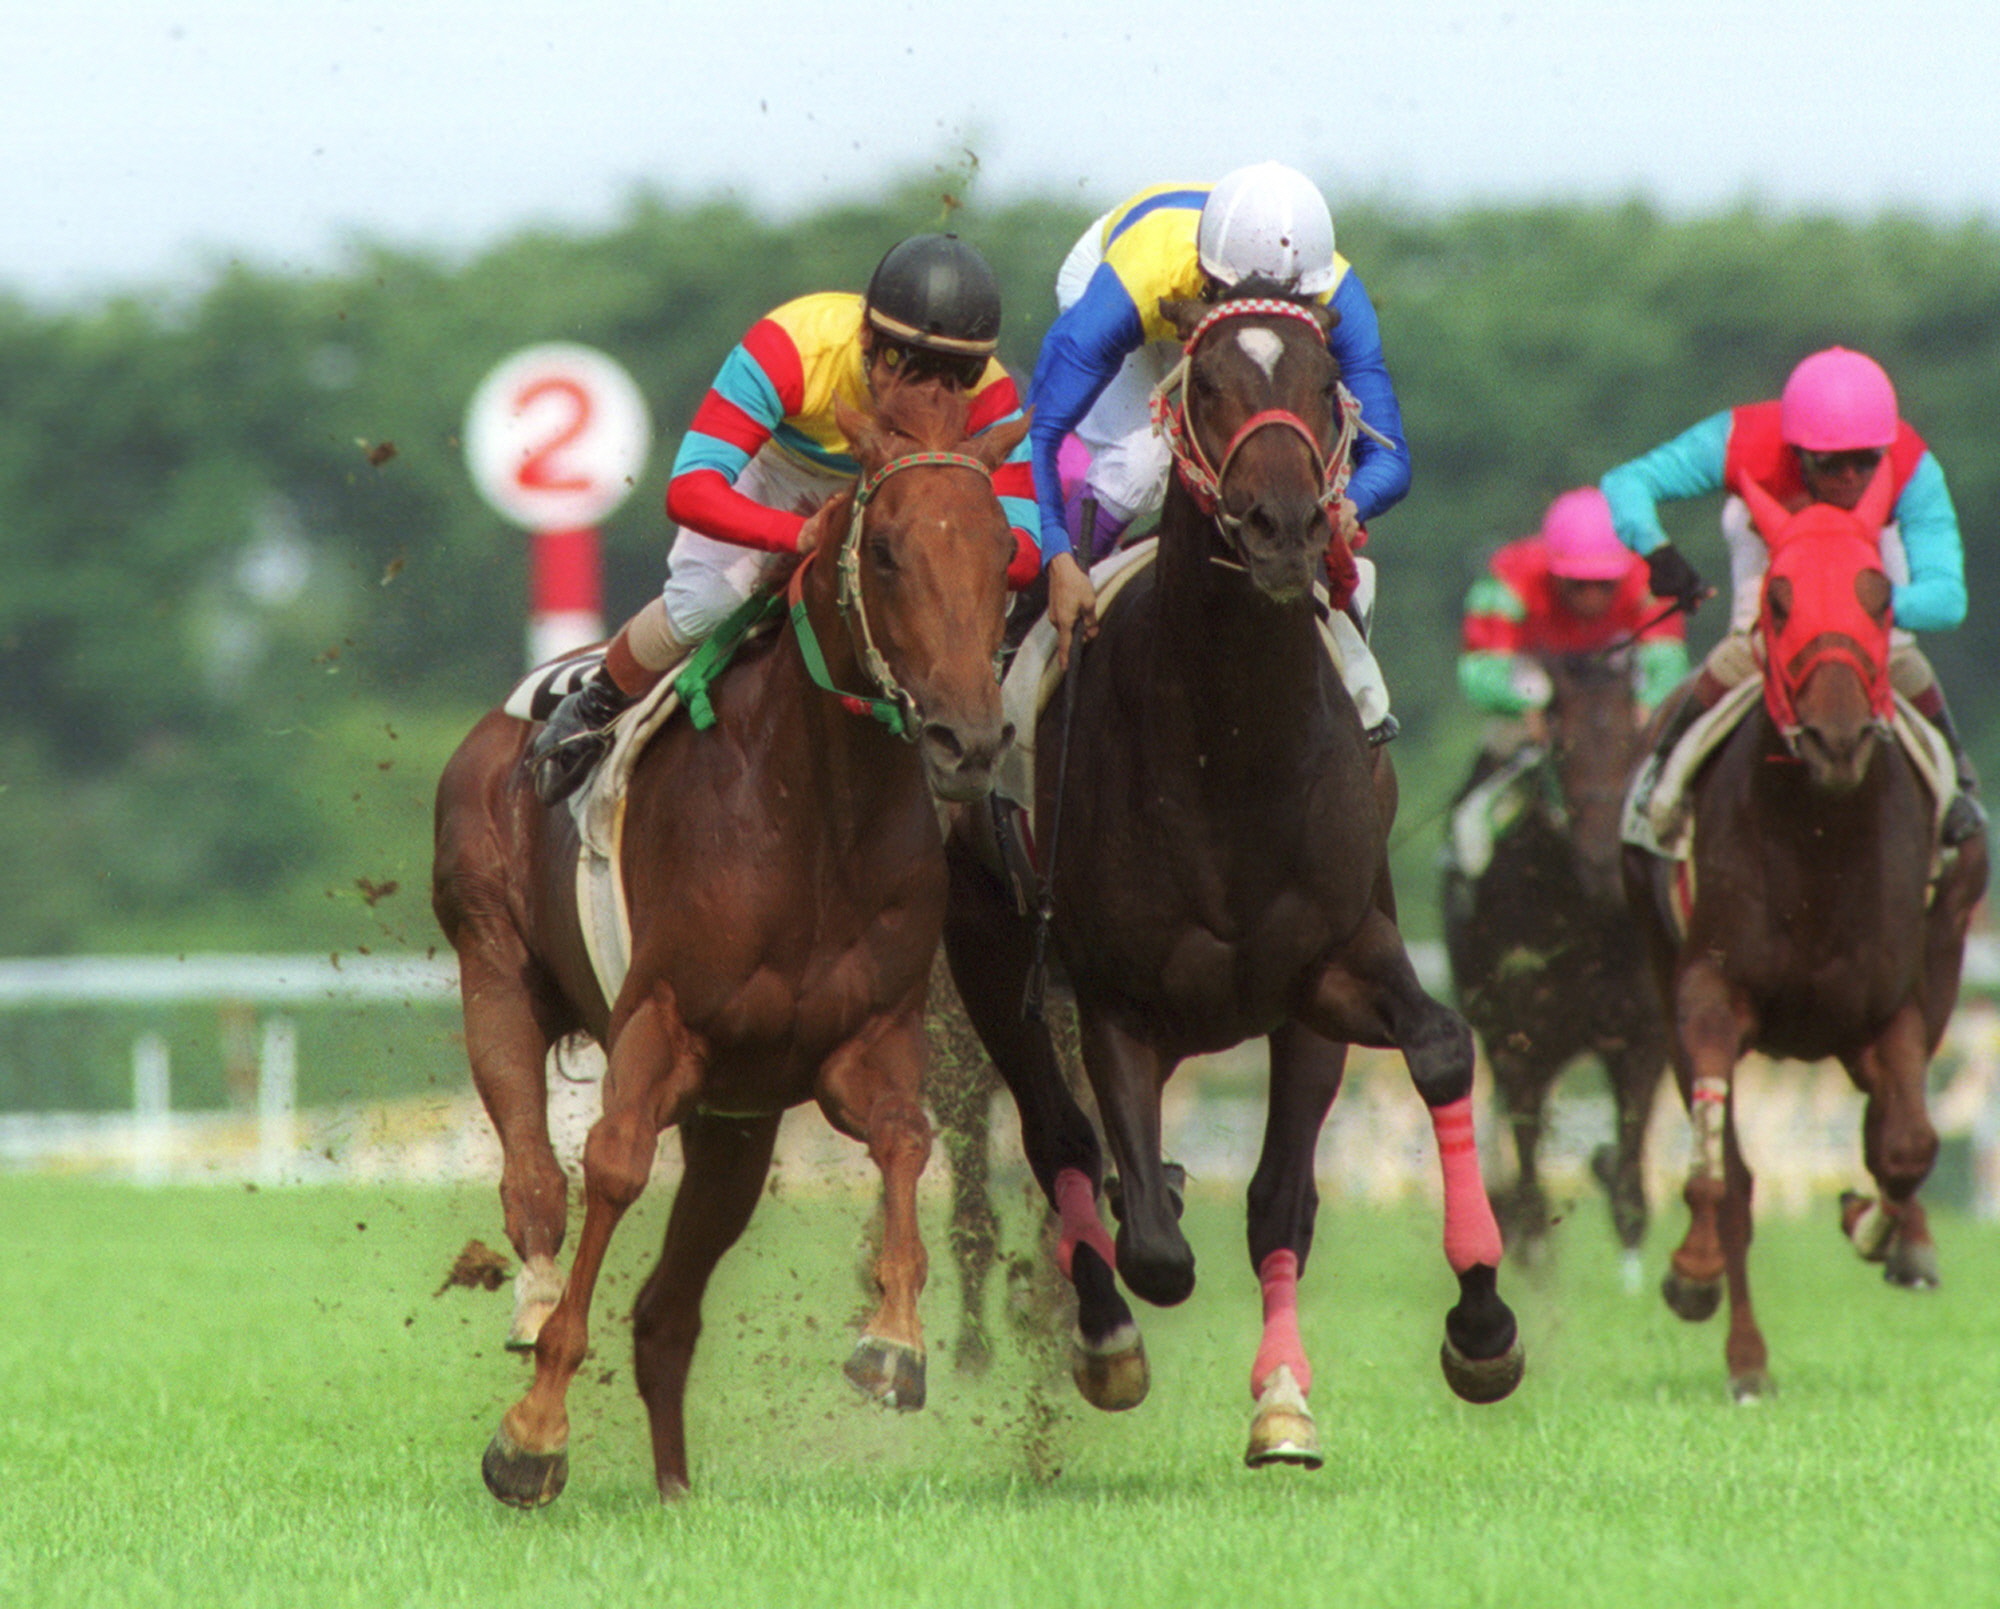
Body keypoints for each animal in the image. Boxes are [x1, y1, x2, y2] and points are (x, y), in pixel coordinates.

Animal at [438, 384, 1032, 1504]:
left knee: (665, 1314)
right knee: (534, 1178)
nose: (966, 740)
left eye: (1002, 552)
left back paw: (675, 1489)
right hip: (492, 963)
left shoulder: (862, 1040)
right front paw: (531, 1432)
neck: (817, 811)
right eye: (887, 552)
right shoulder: (661, 1024)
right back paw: (531, 1302)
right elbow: (613, 1166)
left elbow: (905, 1138)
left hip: (736, 1124)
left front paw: (893, 1340)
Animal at [936, 288, 1512, 1472]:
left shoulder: (1332, 964)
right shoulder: (1115, 998)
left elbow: (1429, 1057)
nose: (1284, 528)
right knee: (1057, 1140)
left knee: (1272, 1197)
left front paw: (1477, 1323)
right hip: (988, 953)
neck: (1230, 748)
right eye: (1206, 386)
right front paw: (1125, 1269)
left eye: (1323, 379)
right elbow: (1155, 1248)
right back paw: (1103, 1324)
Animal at [1440, 648, 1672, 1272]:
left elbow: (1629, 1185)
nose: (1603, 858)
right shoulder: (1518, 1042)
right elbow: (1526, 1181)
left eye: (1632, 740)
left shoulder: (1641, 1038)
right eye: (1560, 742)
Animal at [1624, 472, 1984, 1400]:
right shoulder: (1707, 992)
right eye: (1779, 597)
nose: (1836, 737)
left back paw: (1906, 1238)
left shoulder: (1894, 1005)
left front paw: (1875, 1225)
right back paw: (1745, 1356)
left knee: (1891, 1125)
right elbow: (1722, 1176)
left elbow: (1908, 1143)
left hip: (1941, 954)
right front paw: (1695, 1273)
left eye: (1881, 594)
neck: (1820, 839)